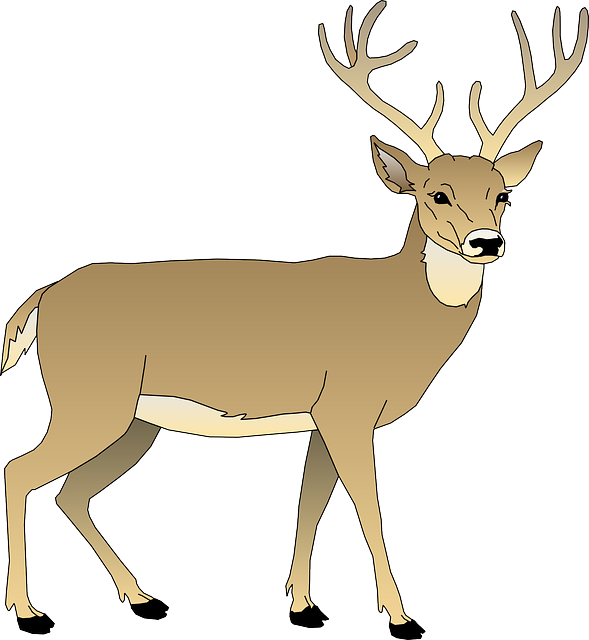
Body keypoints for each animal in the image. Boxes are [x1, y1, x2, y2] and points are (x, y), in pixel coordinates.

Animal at [2, 2, 587, 638]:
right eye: (436, 194)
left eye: (505, 195)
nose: (487, 242)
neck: (398, 314)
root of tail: (43, 296)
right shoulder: (348, 407)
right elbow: (368, 508)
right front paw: (402, 617)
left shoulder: (323, 416)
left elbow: (310, 503)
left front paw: (303, 607)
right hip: (89, 399)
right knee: (20, 471)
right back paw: (32, 612)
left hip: (135, 420)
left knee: (71, 494)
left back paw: (144, 599)